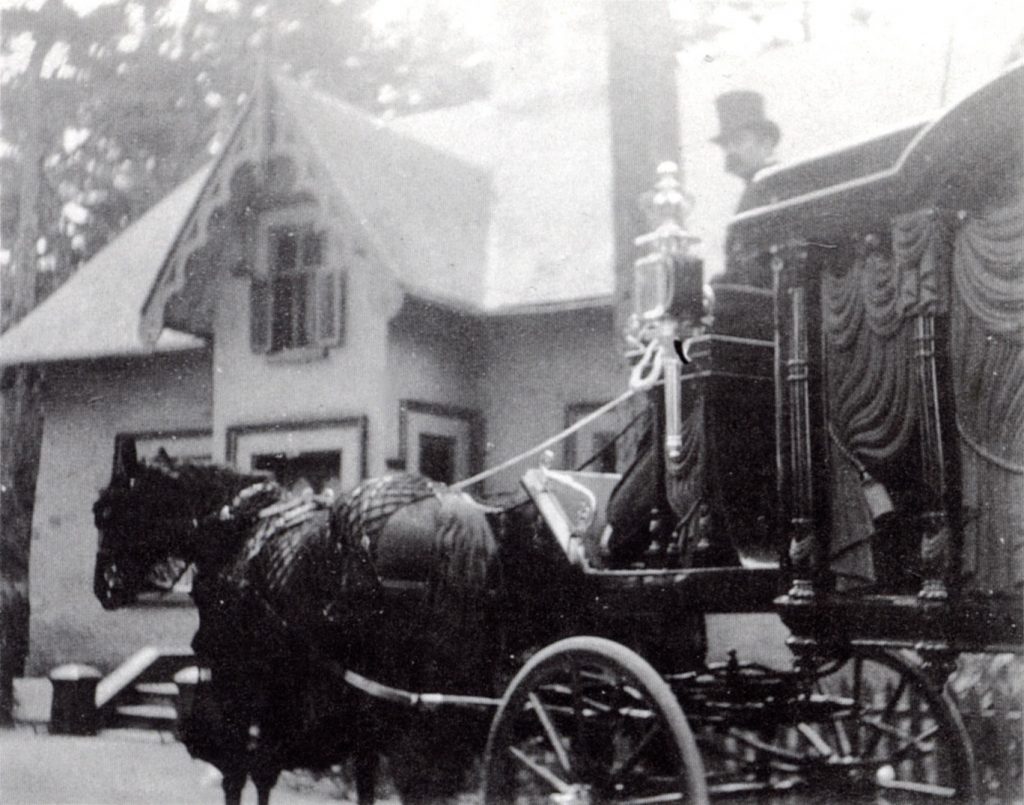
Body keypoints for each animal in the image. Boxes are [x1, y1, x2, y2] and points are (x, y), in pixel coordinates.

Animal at [91, 436, 573, 802]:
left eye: (104, 512)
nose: (103, 588)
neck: (239, 529)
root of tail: (450, 506)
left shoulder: (243, 682)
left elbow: (241, 770)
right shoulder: (333, 696)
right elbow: (341, 771)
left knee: (418, 778)